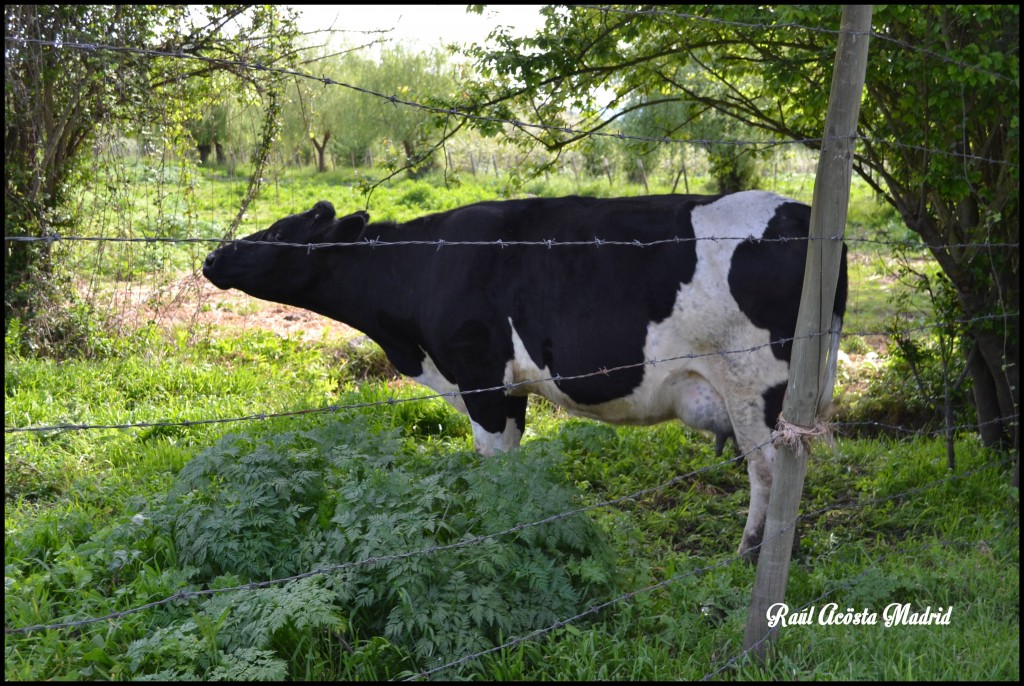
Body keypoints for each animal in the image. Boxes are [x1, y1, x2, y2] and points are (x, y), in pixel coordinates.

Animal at [201, 192, 847, 556]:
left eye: (281, 233)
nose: (212, 256)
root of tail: (805, 214)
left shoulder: (479, 377)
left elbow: (492, 464)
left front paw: (498, 532)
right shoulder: (509, 387)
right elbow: (511, 466)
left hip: (756, 388)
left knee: (769, 471)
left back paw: (751, 553)